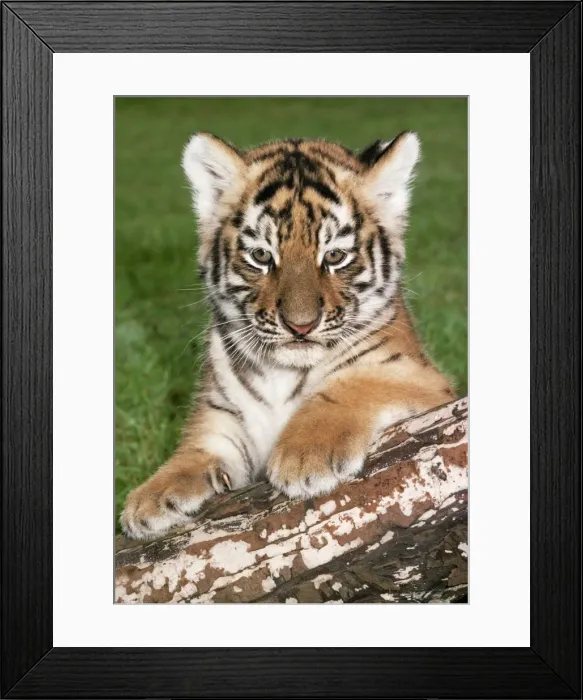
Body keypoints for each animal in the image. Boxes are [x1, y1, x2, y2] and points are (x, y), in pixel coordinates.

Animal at [121, 131, 456, 540]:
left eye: (335, 256)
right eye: (262, 256)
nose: (300, 326)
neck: (282, 372)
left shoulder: (422, 381)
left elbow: (354, 384)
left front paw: (305, 455)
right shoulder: (224, 414)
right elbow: (199, 446)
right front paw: (152, 497)